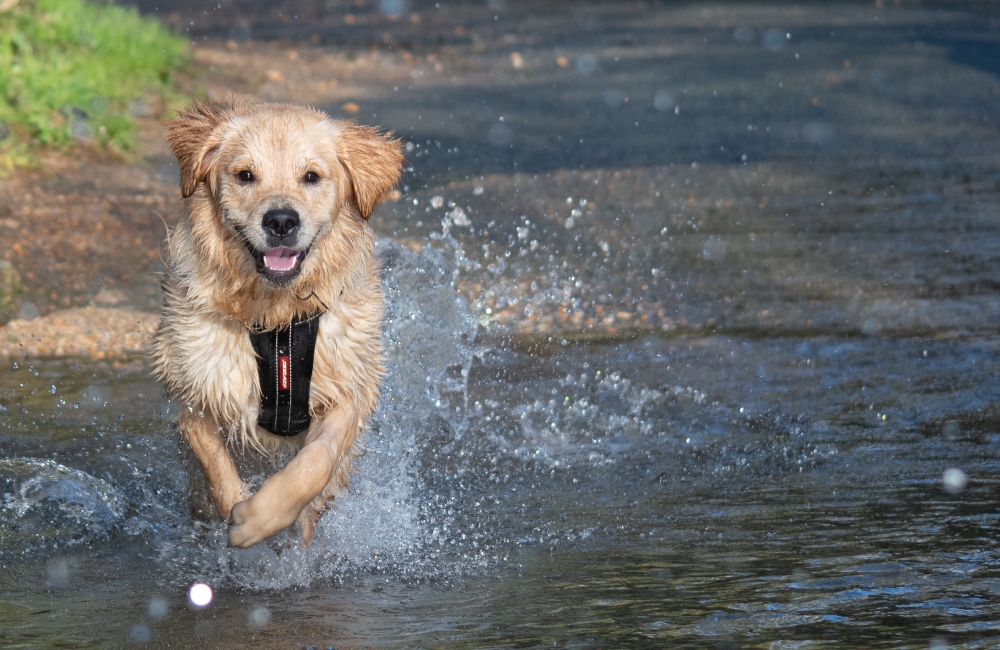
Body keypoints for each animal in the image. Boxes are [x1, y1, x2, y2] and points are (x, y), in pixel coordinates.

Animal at [150, 100, 400, 548]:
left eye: (312, 176)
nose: (281, 220)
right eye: (245, 175)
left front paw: (259, 518)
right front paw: (237, 508)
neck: (277, 318)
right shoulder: (195, 388)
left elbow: (315, 464)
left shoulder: (347, 388)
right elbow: (214, 463)